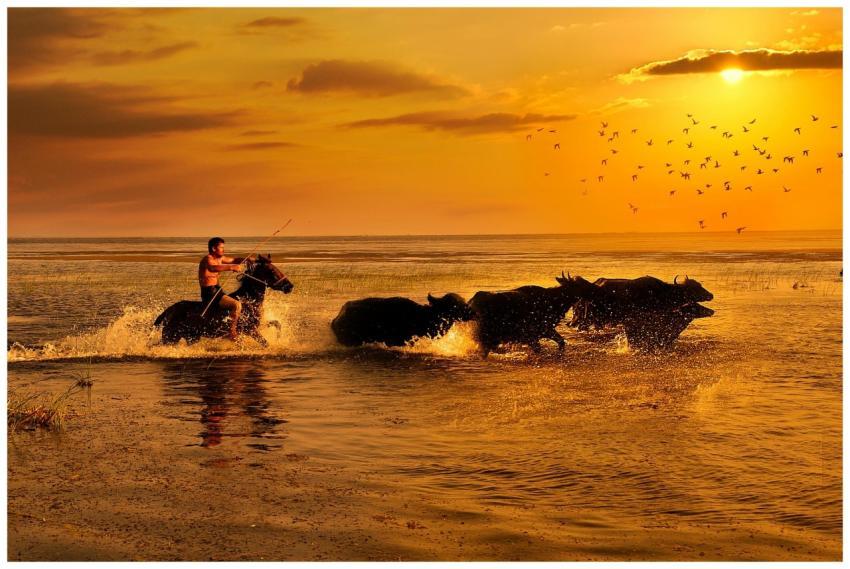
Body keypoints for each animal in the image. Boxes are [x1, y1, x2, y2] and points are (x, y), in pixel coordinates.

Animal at [154, 254, 294, 346]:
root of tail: (167, 311)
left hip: (190, 337)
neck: (249, 301)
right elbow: (265, 344)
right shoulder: (250, 330)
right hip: (170, 337)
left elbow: (277, 324)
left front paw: (279, 338)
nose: (290, 286)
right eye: (271, 270)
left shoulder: (257, 325)